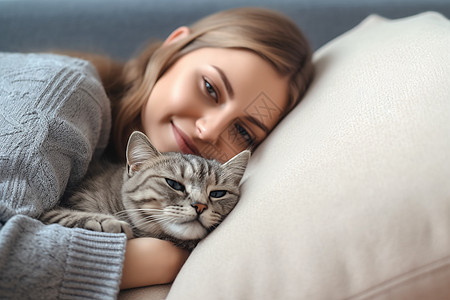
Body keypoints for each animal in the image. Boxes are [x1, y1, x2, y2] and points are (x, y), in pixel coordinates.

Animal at [40, 131, 251, 251]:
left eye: (217, 193)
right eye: (174, 184)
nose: (200, 206)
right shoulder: (51, 211)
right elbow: (68, 215)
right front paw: (106, 222)